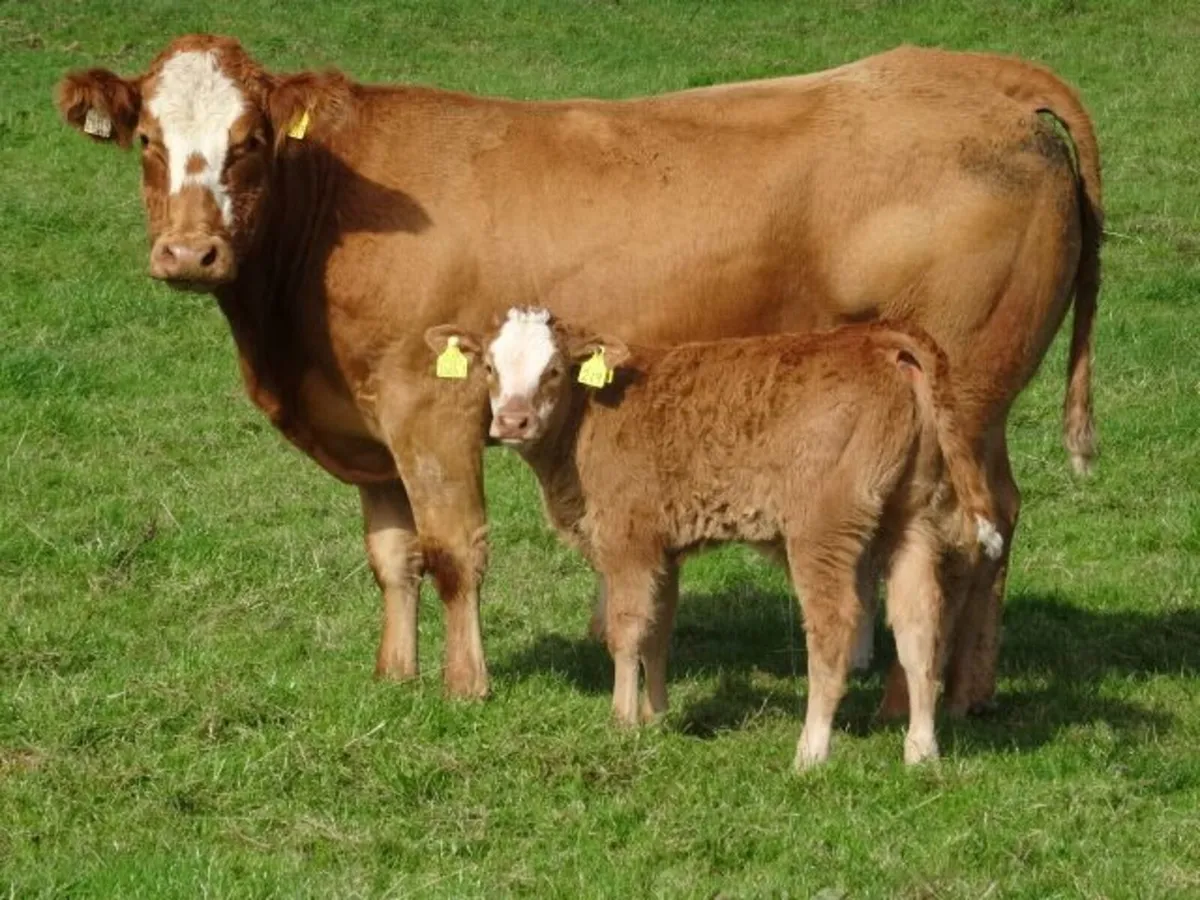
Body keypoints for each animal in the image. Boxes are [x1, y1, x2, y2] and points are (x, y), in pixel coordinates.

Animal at [54, 35, 1101, 707]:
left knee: (978, 530)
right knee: (997, 519)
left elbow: (450, 550)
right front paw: (396, 674)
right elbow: (391, 555)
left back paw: (943, 698)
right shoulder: (369, 423)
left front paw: (464, 687)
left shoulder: (430, 406)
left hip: (967, 395)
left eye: (250, 143)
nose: (190, 254)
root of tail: (983, 79)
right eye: (147, 141)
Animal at [425, 309, 1002, 765]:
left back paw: (811, 751)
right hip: (914, 518)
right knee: (918, 623)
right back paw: (921, 751)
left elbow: (626, 631)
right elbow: (659, 630)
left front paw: (622, 721)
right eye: (490, 367)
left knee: (834, 627)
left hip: (822, 530)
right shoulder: (665, 548)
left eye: (553, 370)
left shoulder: (628, 542)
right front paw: (657, 717)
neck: (587, 420)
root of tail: (874, 338)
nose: (513, 421)